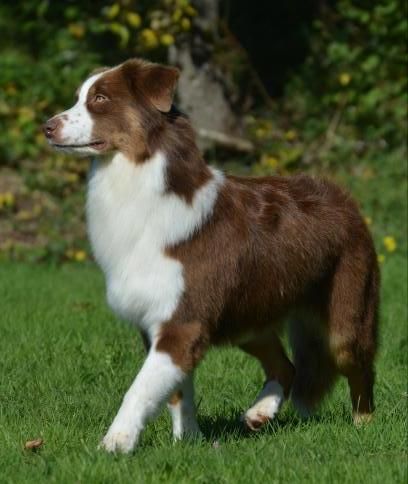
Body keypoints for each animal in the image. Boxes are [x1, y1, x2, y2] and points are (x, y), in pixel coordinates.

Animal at [44, 57, 380, 454]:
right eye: (79, 97)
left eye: (100, 98)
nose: (47, 127)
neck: (136, 176)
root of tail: (342, 195)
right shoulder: (161, 323)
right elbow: (178, 393)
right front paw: (189, 440)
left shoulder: (182, 321)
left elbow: (139, 389)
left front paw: (116, 443)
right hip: (247, 318)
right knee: (287, 366)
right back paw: (260, 412)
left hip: (345, 319)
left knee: (359, 367)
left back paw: (364, 427)